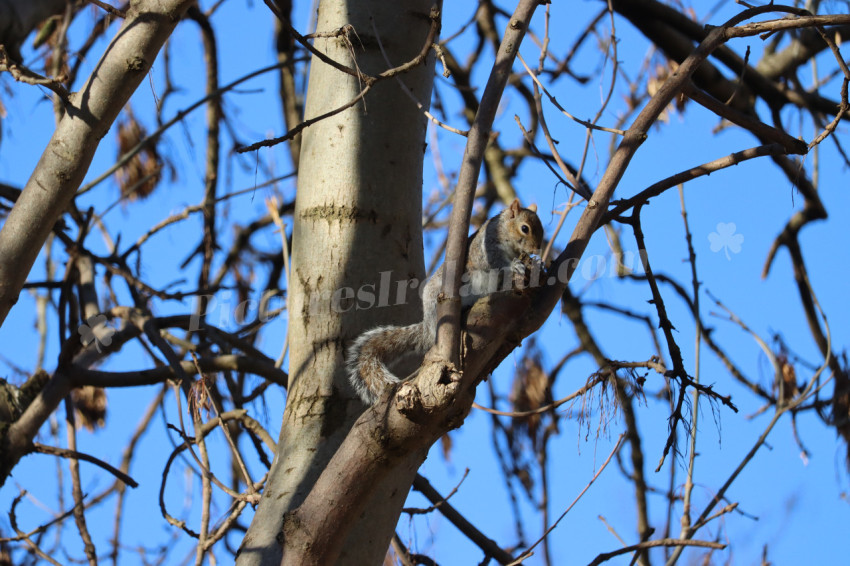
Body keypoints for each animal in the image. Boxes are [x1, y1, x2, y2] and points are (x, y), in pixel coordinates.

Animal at [346, 199, 544, 404]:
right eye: (525, 228)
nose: (536, 249)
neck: (505, 232)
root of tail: (427, 327)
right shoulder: (485, 248)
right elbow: (495, 263)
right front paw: (515, 265)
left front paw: (536, 263)